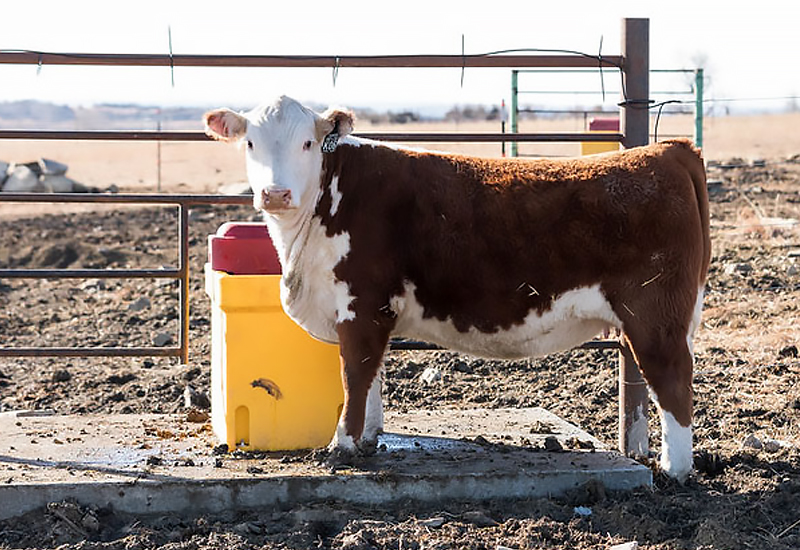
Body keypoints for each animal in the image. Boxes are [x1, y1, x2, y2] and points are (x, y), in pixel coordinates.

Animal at [204, 95, 710, 481]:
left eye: (307, 142)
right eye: (251, 142)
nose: (275, 194)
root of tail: (664, 152)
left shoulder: (361, 305)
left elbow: (355, 374)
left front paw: (342, 447)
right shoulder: (375, 312)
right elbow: (373, 376)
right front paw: (367, 439)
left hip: (655, 316)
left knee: (673, 383)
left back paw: (675, 472)